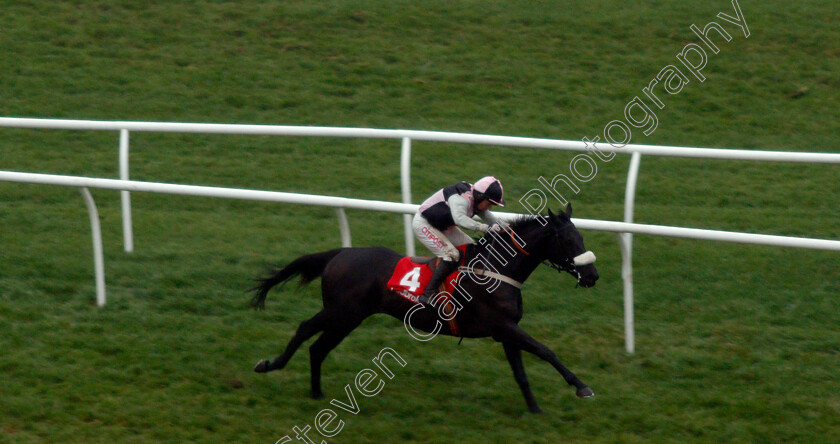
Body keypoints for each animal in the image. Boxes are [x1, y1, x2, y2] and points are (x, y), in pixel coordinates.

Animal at [249, 205, 596, 412]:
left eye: (581, 237)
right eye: (568, 241)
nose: (593, 275)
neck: (495, 270)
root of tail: (340, 254)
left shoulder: (506, 331)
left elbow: (521, 372)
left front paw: (535, 409)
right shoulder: (504, 326)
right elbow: (546, 351)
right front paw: (582, 387)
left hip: (348, 317)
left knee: (317, 346)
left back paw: (316, 393)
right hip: (341, 311)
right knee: (306, 330)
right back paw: (271, 366)